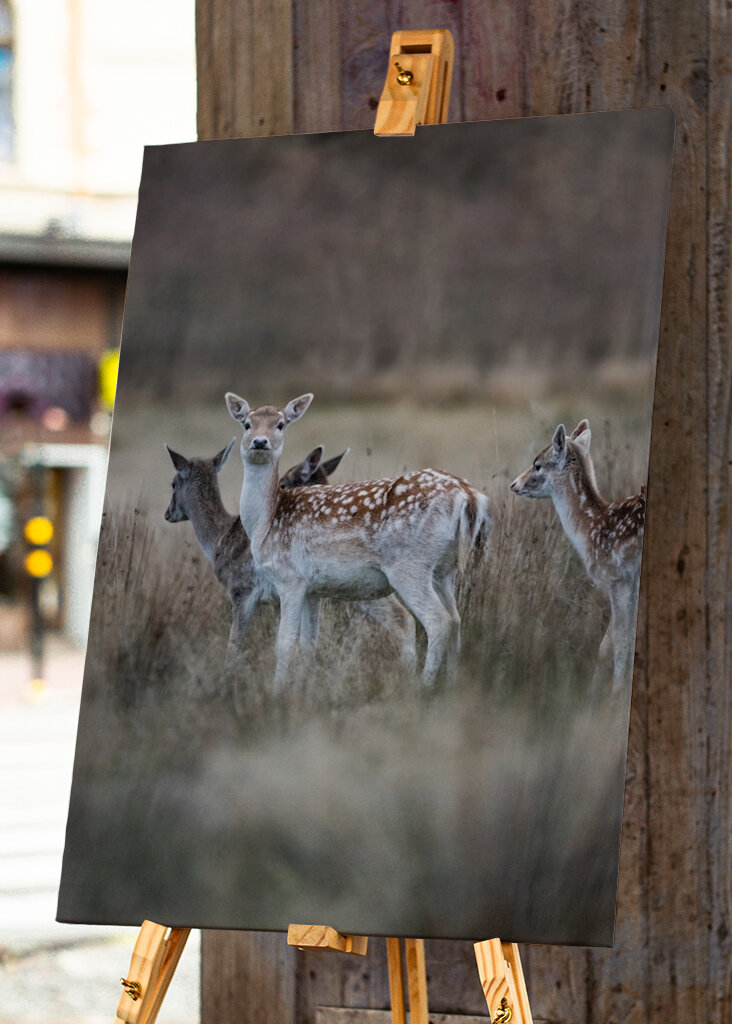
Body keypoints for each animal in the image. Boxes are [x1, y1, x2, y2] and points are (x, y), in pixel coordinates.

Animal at [164, 439, 415, 675]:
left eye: (173, 484)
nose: (168, 513)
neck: (218, 540)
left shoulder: (242, 589)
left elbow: (235, 645)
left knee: (401, 617)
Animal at [225, 391, 491, 692]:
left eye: (280, 424)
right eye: (247, 424)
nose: (260, 442)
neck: (267, 521)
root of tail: (470, 497)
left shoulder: (290, 577)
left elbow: (284, 643)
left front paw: (278, 692)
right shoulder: (313, 588)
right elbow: (308, 643)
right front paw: (304, 689)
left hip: (410, 565)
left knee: (438, 621)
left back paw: (423, 686)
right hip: (444, 569)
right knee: (456, 619)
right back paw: (451, 683)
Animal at [510, 419, 645, 694]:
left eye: (537, 464)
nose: (514, 484)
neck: (591, 528)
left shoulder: (619, 578)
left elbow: (621, 641)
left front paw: (616, 693)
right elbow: (608, 644)